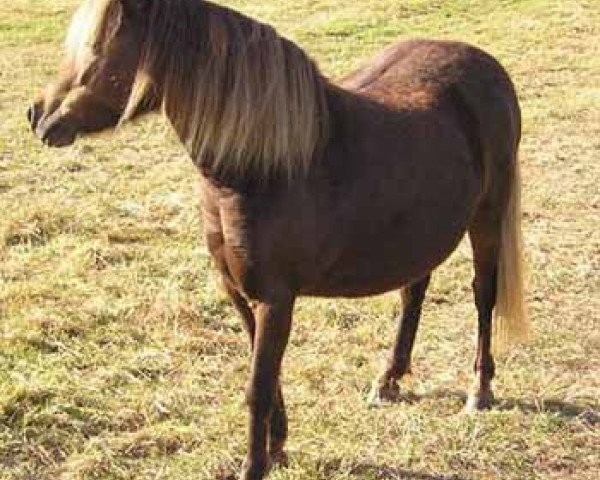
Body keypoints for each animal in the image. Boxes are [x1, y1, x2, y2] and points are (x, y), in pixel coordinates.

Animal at [28, 1, 528, 478]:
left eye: (98, 48)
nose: (38, 116)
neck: (260, 166)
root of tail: (489, 68)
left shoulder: (275, 299)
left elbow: (258, 387)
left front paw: (253, 465)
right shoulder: (239, 293)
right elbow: (268, 379)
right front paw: (277, 448)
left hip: (486, 219)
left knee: (483, 296)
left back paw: (479, 389)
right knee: (414, 292)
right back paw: (388, 380)